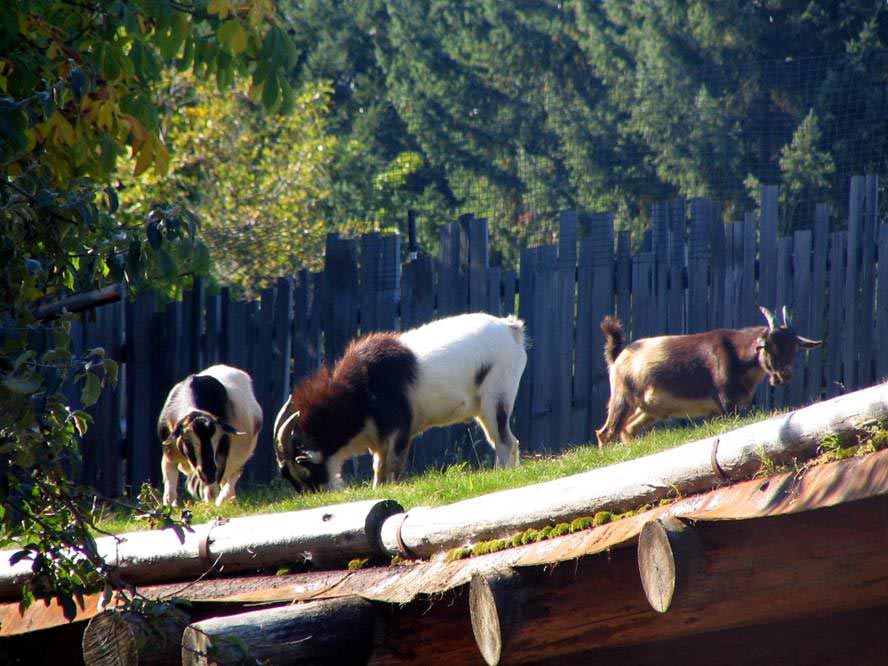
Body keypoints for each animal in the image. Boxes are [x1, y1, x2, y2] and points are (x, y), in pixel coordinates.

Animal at [157, 364, 262, 505]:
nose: (209, 474)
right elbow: (169, 494)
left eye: (218, 440)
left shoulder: (222, 458)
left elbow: (212, 492)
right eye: (188, 442)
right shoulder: (169, 454)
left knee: (231, 478)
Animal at [273, 312, 527, 491]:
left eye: (303, 471)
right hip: (483, 408)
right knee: (504, 441)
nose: (318, 494)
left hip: (496, 399)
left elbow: (393, 466)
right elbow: (379, 468)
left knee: (505, 442)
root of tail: (510, 328)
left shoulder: (400, 429)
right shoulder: (379, 438)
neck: (362, 387)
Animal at [595, 306, 821, 445]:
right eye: (769, 347)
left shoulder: (718, 410)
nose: (784, 376)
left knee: (628, 428)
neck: (738, 355)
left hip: (648, 409)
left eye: (795, 349)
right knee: (606, 433)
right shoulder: (726, 402)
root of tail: (618, 355)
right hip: (622, 397)